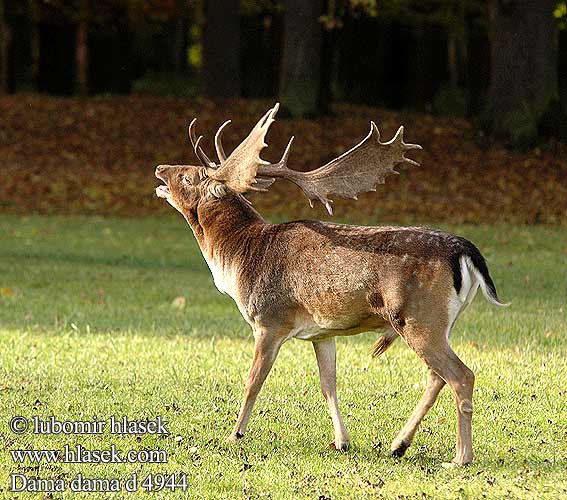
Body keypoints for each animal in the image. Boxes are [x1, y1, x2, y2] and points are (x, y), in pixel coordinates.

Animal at [155, 103, 506, 466]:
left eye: (189, 176)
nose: (160, 168)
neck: (241, 257)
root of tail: (464, 250)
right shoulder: (322, 332)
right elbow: (328, 384)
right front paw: (341, 441)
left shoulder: (269, 321)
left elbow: (253, 381)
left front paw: (233, 435)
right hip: (439, 323)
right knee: (437, 376)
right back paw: (399, 444)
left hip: (419, 317)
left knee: (461, 375)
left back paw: (461, 456)